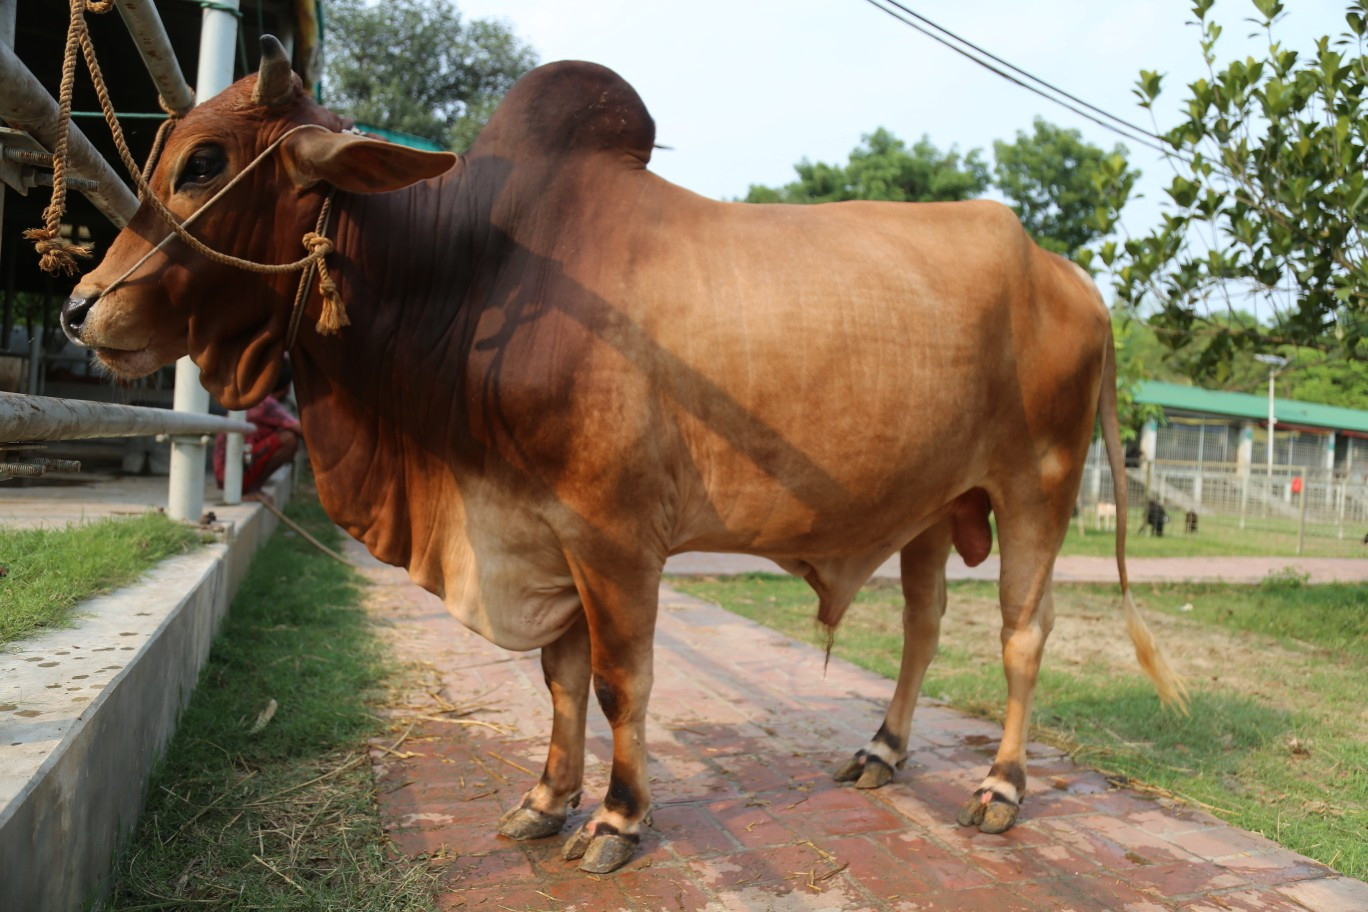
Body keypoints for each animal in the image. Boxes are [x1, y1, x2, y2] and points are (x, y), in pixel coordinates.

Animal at [60, 38, 1186, 874]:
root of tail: (1067, 273)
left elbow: (618, 681)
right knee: (923, 621)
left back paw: (999, 788)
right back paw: (883, 749)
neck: (476, 275)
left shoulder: (612, 536)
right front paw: (544, 800)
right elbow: (559, 680)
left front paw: (616, 818)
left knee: (1023, 634)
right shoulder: (538, 524)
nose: (80, 307)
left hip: (1036, 487)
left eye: (204, 163)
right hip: (929, 502)